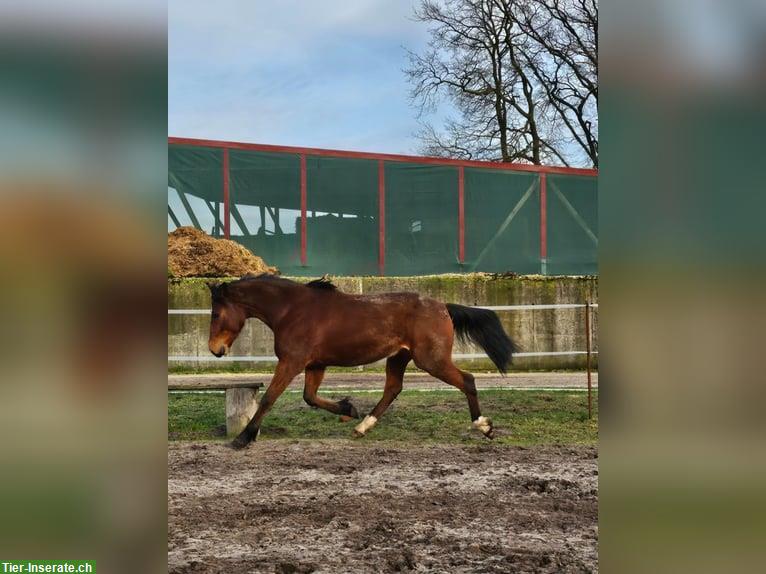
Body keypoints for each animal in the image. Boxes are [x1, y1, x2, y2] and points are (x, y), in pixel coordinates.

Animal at [207, 274, 520, 450]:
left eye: (215, 314)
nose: (214, 349)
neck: (292, 310)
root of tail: (443, 306)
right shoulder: (314, 364)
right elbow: (310, 397)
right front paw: (349, 408)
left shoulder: (292, 361)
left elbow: (270, 397)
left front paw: (243, 438)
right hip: (399, 357)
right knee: (392, 389)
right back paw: (362, 426)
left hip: (431, 360)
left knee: (467, 380)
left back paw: (484, 426)